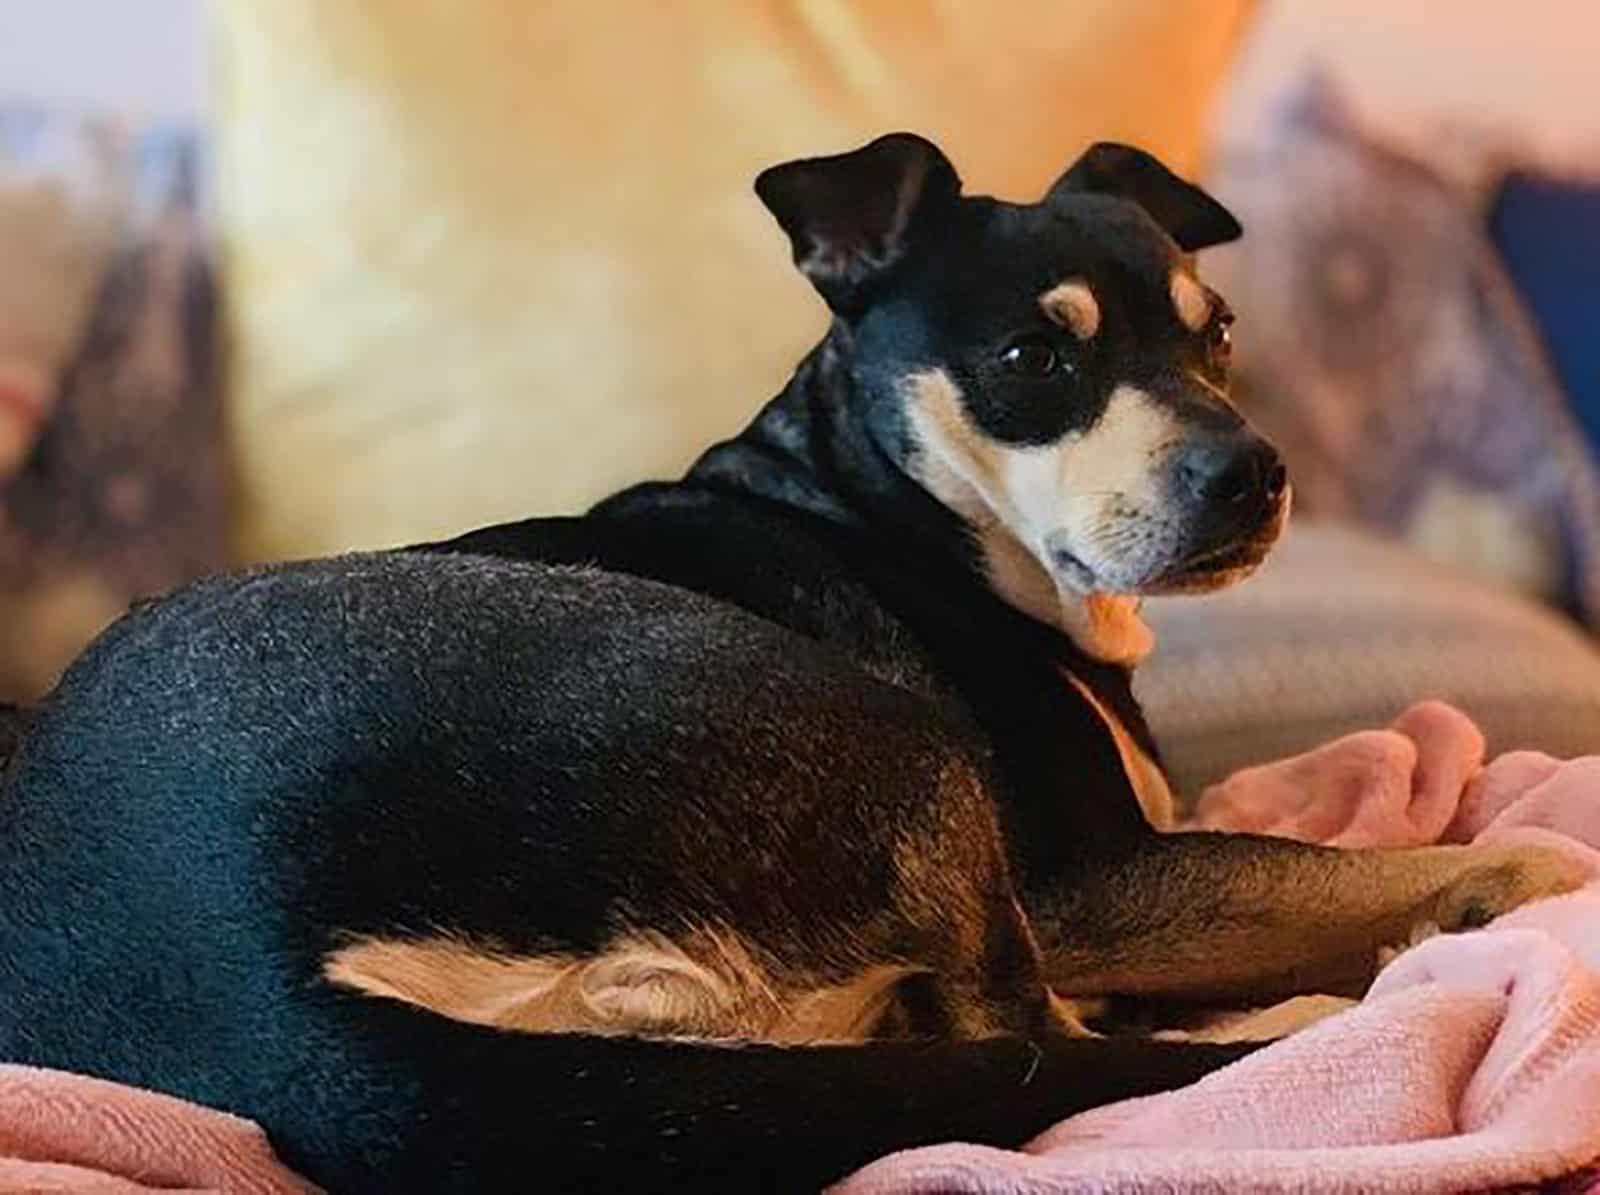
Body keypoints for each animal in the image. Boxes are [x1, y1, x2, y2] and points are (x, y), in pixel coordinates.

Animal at [0, 135, 1580, 1190]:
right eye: (1031, 357)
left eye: (1222, 337)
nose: (1253, 475)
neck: (895, 508)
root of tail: (252, 994)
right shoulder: (1081, 881)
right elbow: (1336, 865)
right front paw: (1507, 877)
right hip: (888, 748)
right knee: (1025, 1038)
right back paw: (1298, 1017)